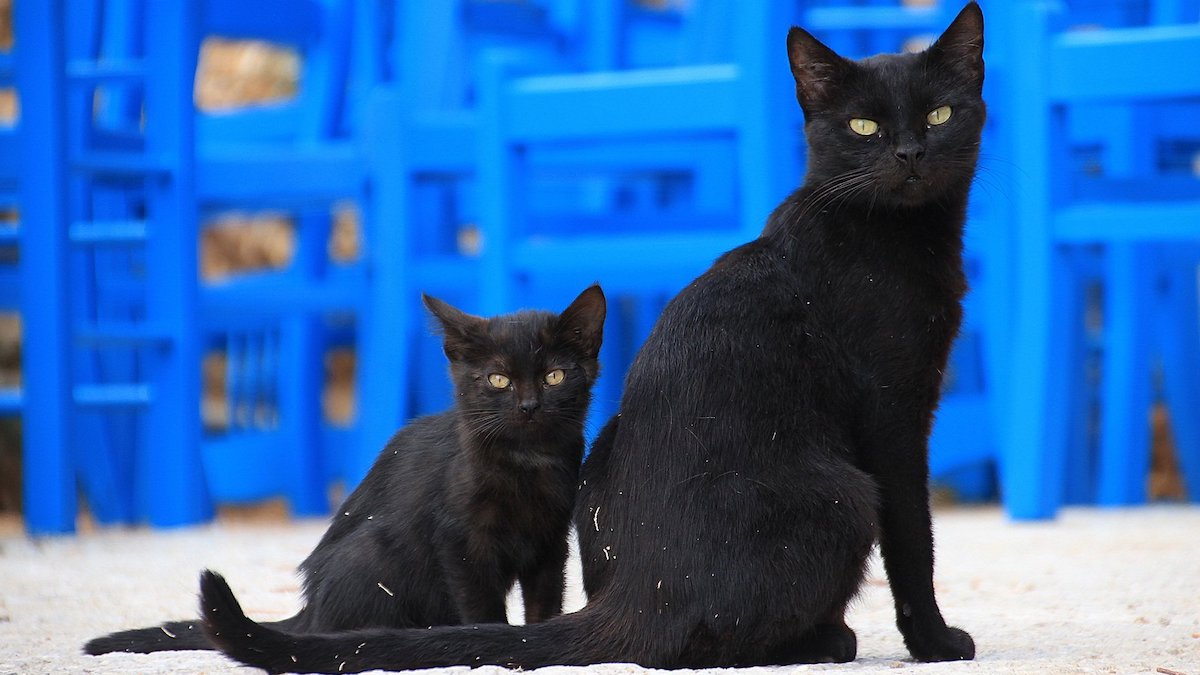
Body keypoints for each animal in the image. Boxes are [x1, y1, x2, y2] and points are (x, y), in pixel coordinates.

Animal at [83, 283, 604, 653]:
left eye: (554, 375)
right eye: (498, 379)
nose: (529, 406)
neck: (527, 463)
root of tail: (309, 608)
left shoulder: (549, 542)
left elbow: (545, 600)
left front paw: (535, 641)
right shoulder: (459, 540)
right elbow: (480, 604)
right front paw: (494, 642)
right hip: (374, 551)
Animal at [196, 3, 984, 667]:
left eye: (940, 113)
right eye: (863, 128)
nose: (909, 154)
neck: (890, 235)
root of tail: (632, 600)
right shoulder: (893, 418)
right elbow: (915, 541)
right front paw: (935, 642)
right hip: (846, 494)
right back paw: (829, 638)